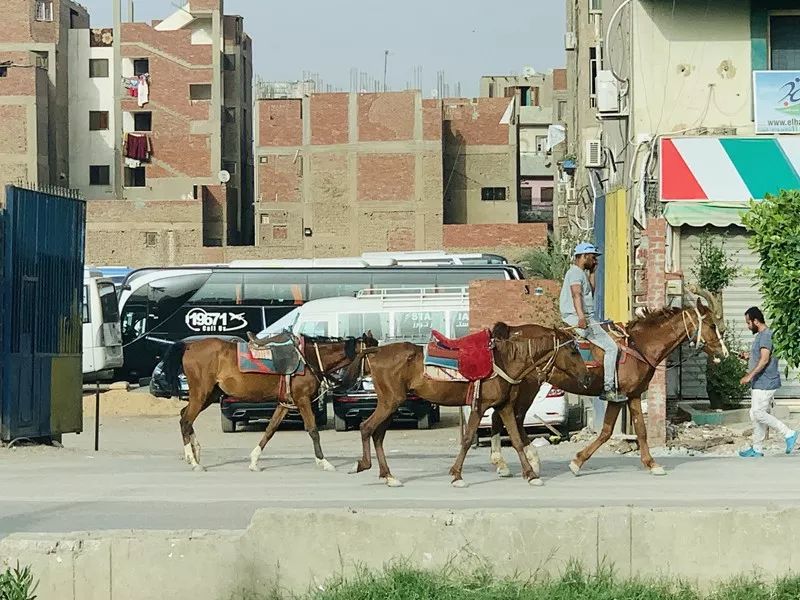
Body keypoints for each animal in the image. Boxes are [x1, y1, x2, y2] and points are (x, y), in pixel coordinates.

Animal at [340, 330, 592, 490]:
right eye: (573, 352)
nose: (586, 375)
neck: (504, 361)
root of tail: (374, 353)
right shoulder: (480, 407)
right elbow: (468, 438)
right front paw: (457, 476)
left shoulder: (504, 407)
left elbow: (517, 440)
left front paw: (531, 475)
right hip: (390, 401)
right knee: (367, 427)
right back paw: (363, 465)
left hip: (390, 402)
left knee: (377, 434)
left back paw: (388, 476)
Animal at [484, 300, 728, 478]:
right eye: (712, 325)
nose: (723, 353)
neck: (640, 345)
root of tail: (512, 332)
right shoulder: (621, 396)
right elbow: (614, 431)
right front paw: (577, 462)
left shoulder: (629, 396)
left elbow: (629, 431)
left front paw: (650, 463)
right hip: (528, 387)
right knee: (512, 417)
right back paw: (528, 460)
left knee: (500, 417)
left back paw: (502, 463)